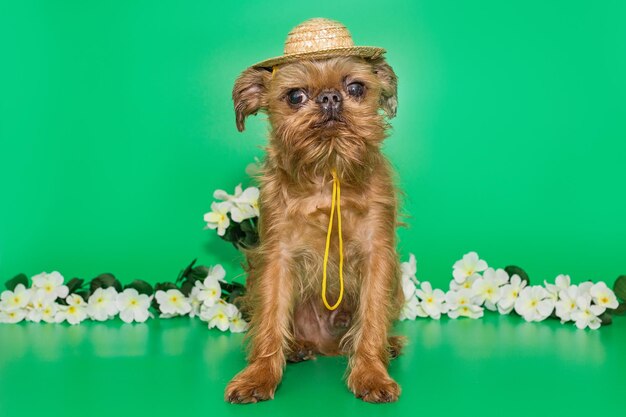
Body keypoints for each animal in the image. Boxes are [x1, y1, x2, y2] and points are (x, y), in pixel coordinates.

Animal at [222, 17, 402, 402]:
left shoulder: (377, 254)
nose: (330, 97)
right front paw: (259, 374)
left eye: (356, 88)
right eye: (295, 96)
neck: (327, 170)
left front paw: (371, 373)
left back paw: (388, 346)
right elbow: (270, 317)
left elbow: (372, 316)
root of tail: (326, 346)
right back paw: (296, 348)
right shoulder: (276, 257)